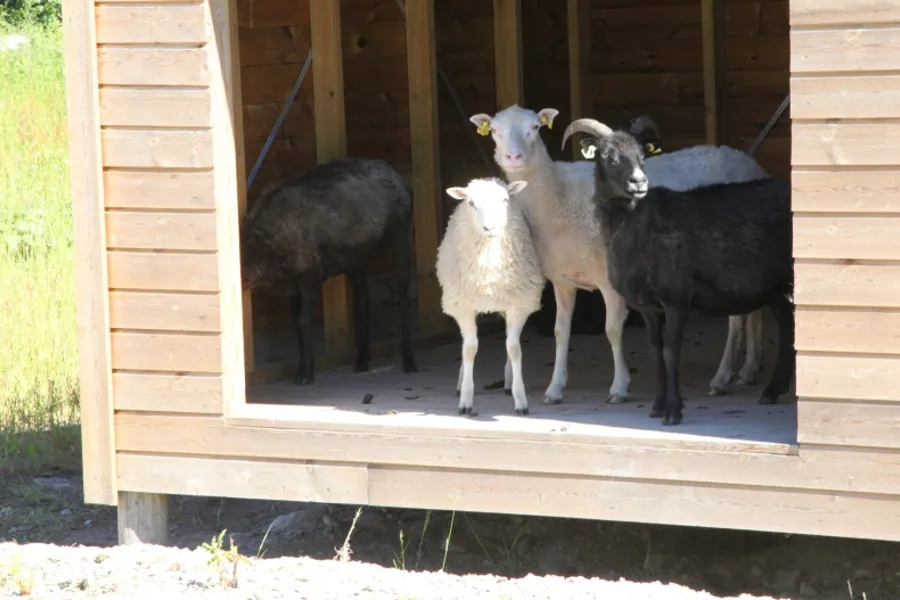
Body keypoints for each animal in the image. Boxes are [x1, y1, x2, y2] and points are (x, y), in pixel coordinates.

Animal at [434, 176, 540, 414]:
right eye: (472, 203)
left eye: (504, 200)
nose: (489, 228)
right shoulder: (463, 306)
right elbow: (469, 348)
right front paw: (466, 399)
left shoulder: (518, 304)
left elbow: (514, 348)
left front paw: (520, 400)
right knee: (466, 343)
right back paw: (461, 381)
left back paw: (508, 382)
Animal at [472, 105, 772, 406]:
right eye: (495, 131)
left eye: (534, 127)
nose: (513, 157)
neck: (560, 197)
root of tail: (747, 162)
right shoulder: (563, 281)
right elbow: (561, 332)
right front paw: (555, 388)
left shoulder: (609, 280)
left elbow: (613, 330)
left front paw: (619, 387)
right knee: (754, 310)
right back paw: (749, 369)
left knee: (736, 319)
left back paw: (722, 377)